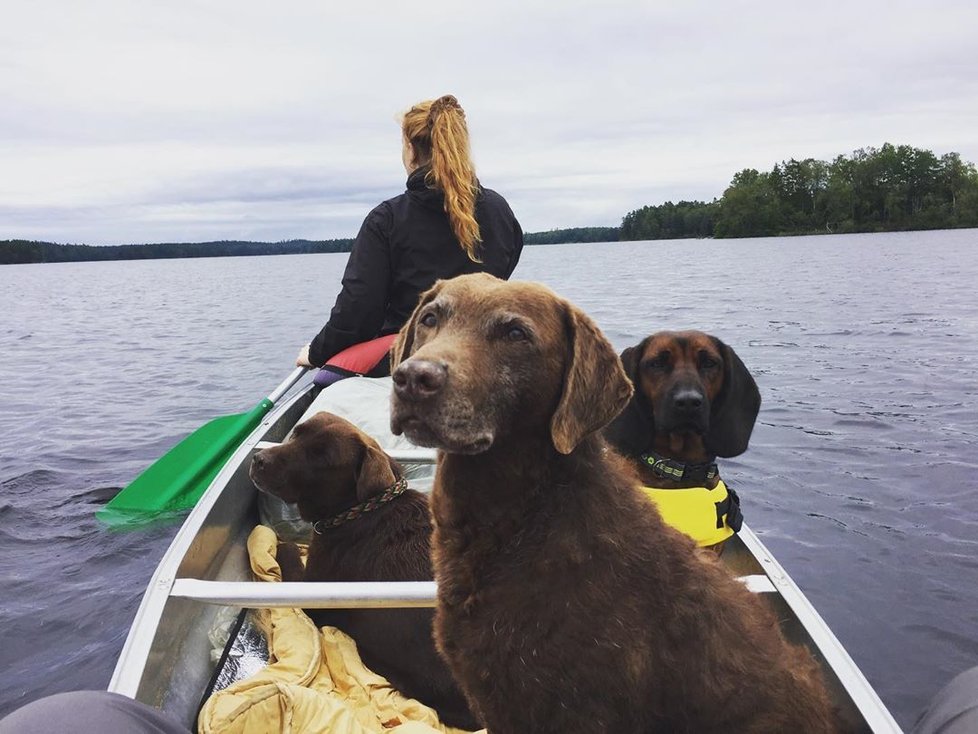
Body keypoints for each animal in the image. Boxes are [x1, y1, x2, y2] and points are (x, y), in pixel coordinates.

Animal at [250, 412, 478, 732]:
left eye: (321, 457)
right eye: (296, 433)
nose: (259, 460)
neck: (359, 509)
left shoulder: (311, 595)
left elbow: (290, 552)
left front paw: (282, 544)